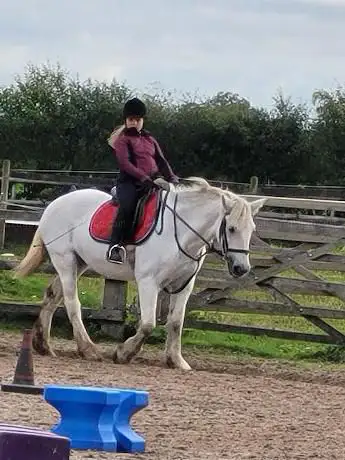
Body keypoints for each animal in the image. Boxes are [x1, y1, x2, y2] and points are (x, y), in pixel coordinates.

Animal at [12, 178, 266, 372]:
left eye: (252, 229)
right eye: (231, 228)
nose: (241, 268)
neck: (182, 233)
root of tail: (55, 203)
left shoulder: (184, 285)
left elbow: (176, 322)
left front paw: (176, 361)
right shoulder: (148, 282)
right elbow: (148, 323)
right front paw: (124, 353)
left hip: (79, 262)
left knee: (52, 296)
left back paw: (43, 345)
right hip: (65, 260)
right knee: (72, 302)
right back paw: (88, 350)